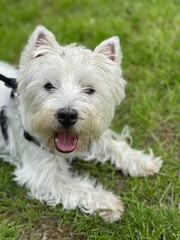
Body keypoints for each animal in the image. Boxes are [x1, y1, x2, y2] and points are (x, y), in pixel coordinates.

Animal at [0, 25, 162, 222]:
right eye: (48, 86)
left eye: (90, 89)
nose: (67, 115)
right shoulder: (43, 175)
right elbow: (79, 187)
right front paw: (108, 202)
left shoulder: (91, 133)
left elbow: (114, 145)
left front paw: (142, 161)